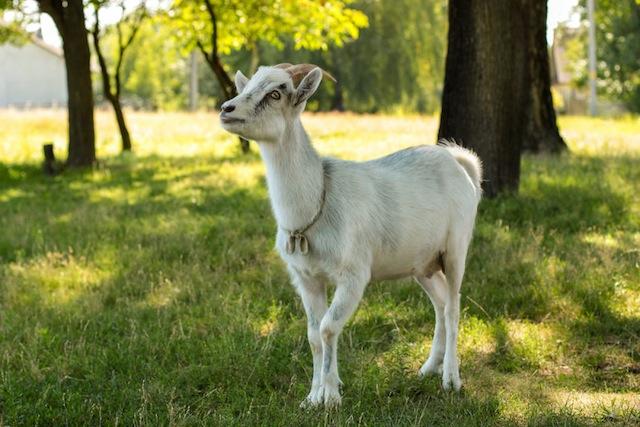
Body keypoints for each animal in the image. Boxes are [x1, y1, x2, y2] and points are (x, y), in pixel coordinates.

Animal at [219, 62, 480, 408]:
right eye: (248, 86)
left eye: (276, 93)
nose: (226, 109)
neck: (317, 202)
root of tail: (458, 162)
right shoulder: (306, 279)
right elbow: (313, 335)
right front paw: (312, 397)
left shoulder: (354, 276)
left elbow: (329, 328)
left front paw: (330, 397)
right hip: (422, 262)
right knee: (439, 302)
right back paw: (428, 368)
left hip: (455, 248)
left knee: (452, 306)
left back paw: (451, 379)